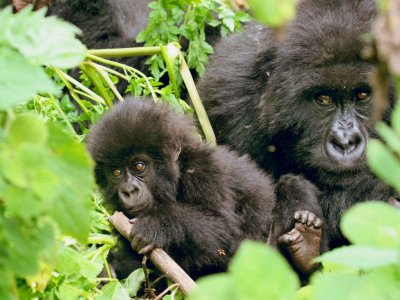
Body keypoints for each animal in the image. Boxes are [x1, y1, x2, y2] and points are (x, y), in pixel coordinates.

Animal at [85, 97, 278, 278]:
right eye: (116, 172)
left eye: (138, 166)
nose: (129, 190)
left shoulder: (204, 171)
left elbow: (224, 232)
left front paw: (158, 224)